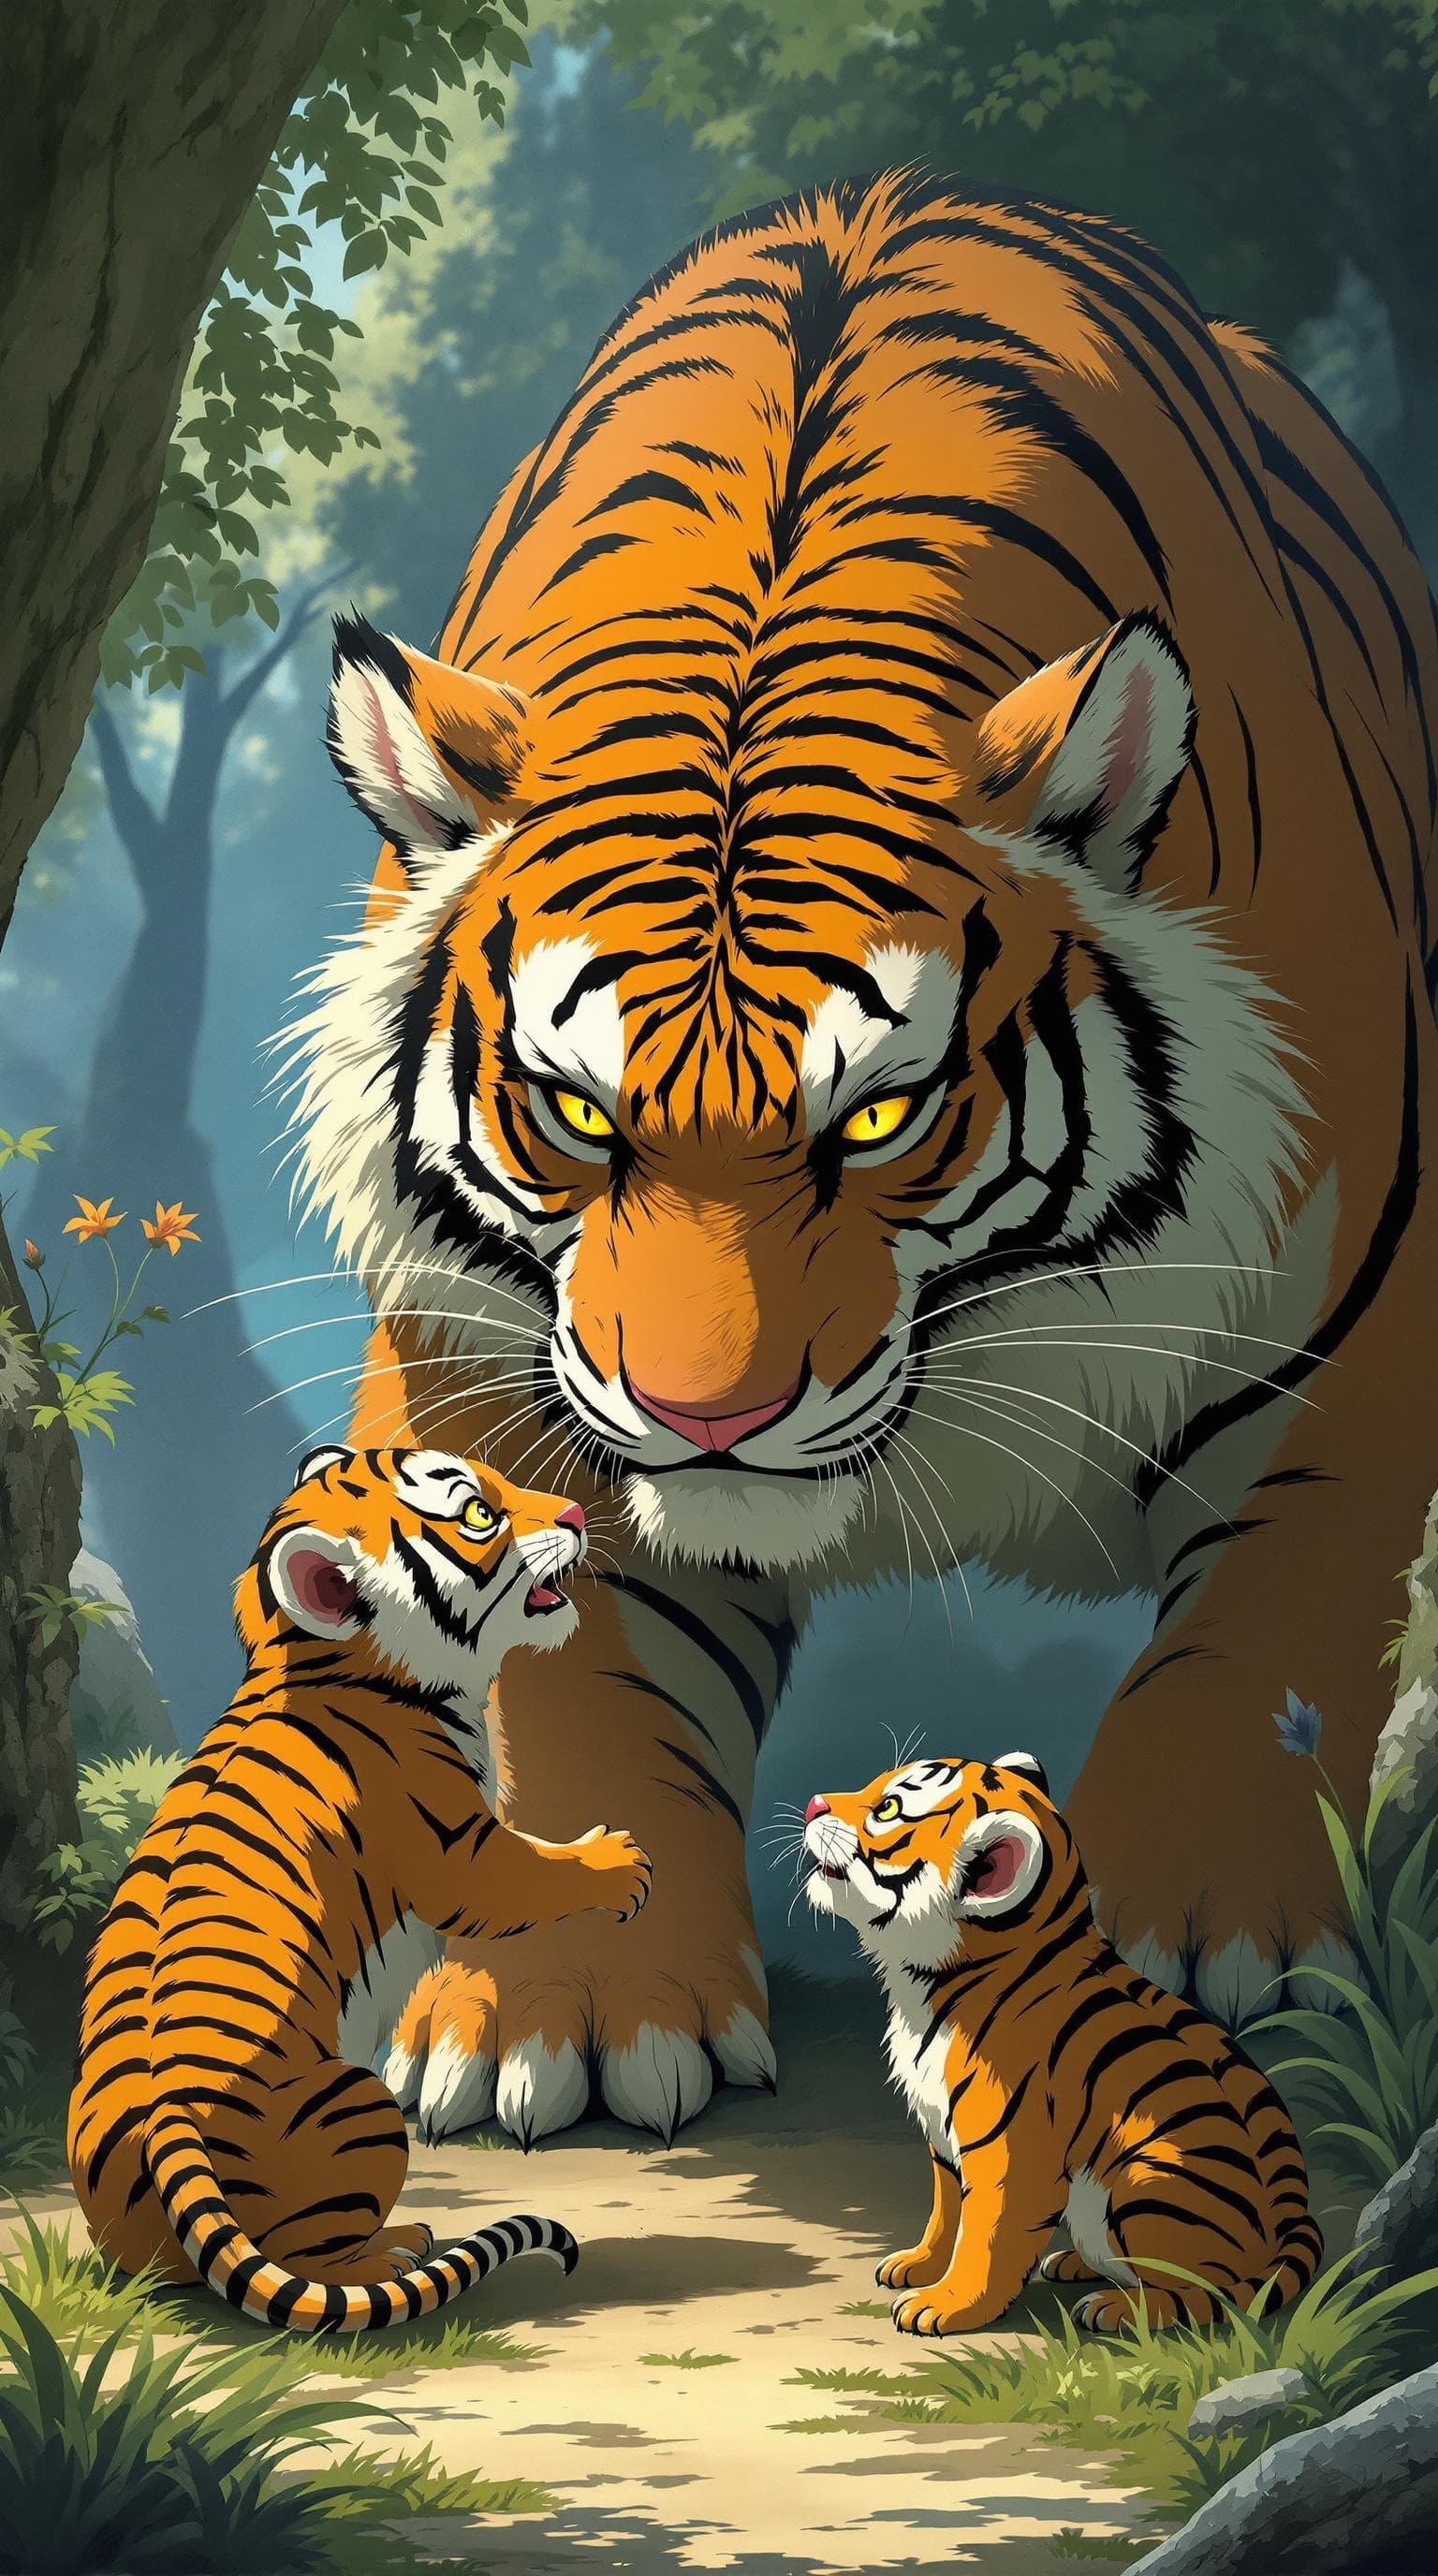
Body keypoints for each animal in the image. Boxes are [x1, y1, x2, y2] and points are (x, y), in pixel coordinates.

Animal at [66, 1446, 651, 2334]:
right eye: (479, 1514)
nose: (577, 1515)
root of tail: (167, 2129)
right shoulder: (456, 1849)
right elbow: (529, 1877)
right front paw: (618, 1861)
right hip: (359, 2102)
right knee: (306, 2267)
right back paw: (392, 2248)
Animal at [285, 165, 1438, 2147]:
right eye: (578, 1113)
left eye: (881, 1115)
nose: (708, 1419)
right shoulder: (493, 1362)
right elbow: (572, 1673)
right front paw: (557, 2014)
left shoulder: (1356, 1350)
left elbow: (1267, 1636)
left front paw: (1174, 1945)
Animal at [803, 1751, 1321, 2336]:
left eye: (888, 1808)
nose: (813, 1804)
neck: (927, 1981)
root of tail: (1290, 2221)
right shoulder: (942, 2136)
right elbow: (946, 2213)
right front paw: (917, 2265)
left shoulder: (1008, 2151)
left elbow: (985, 2234)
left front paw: (949, 2305)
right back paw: (1075, 2263)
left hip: (1149, 2179)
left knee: (1201, 2293)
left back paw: (1117, 2308)